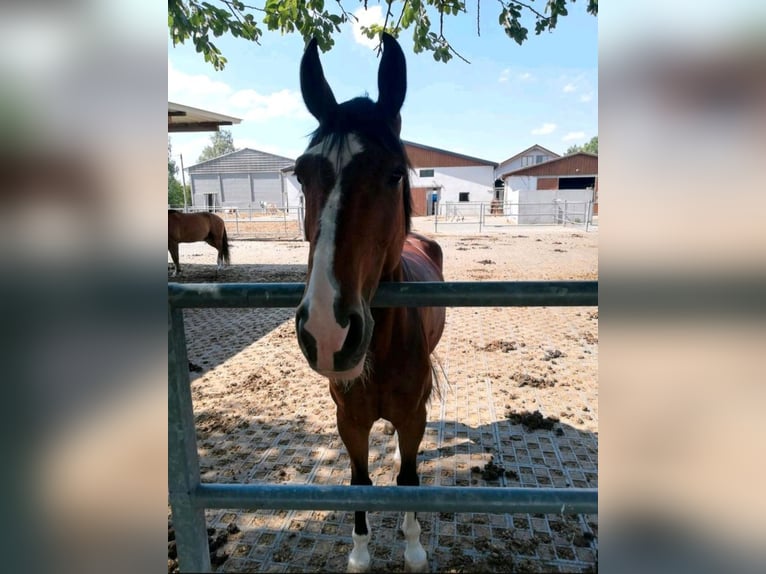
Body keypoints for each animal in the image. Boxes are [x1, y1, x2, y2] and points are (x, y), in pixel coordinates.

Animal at [296, 33, 450, 572]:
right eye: (301, 175)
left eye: (394, 175)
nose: (326, 330)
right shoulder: (351, 421)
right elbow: (360, 481)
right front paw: (361, 553)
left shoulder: (413, 416)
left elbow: (408, 479)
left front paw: (413, 544)